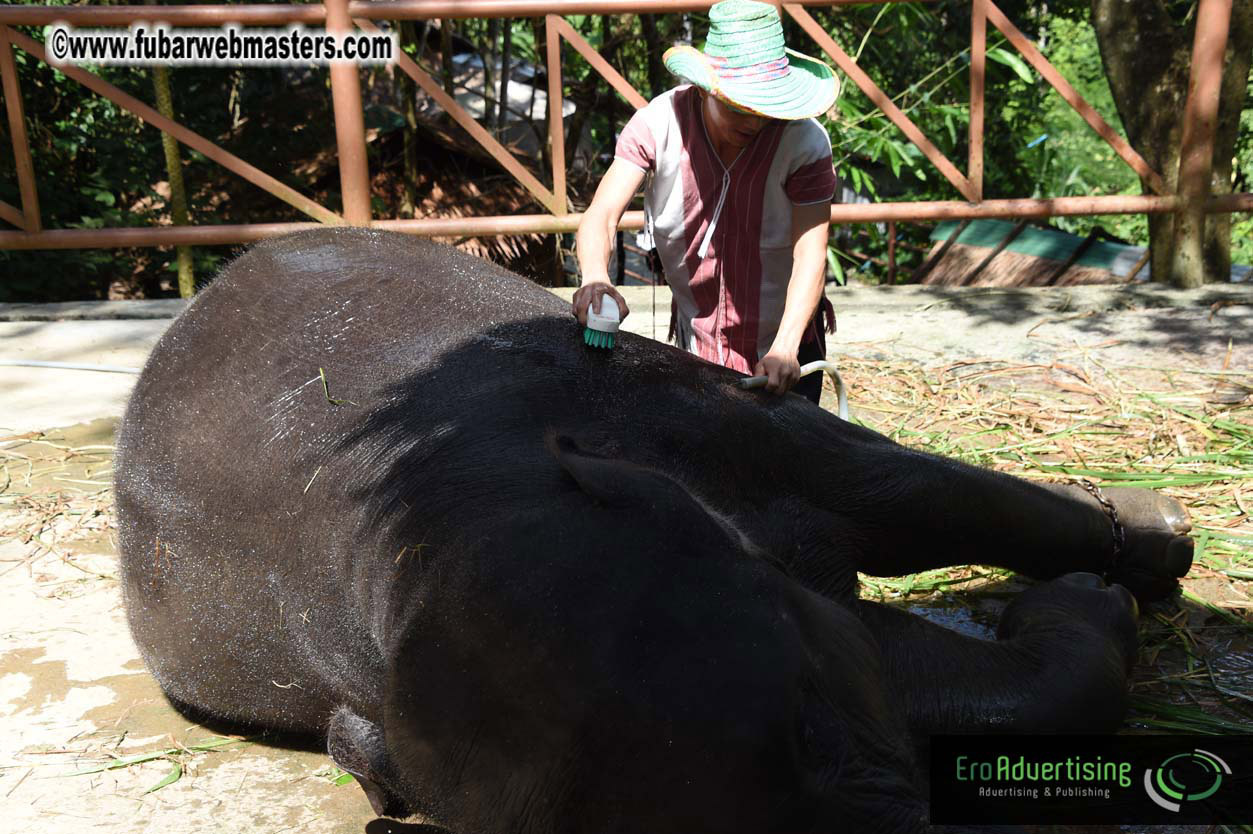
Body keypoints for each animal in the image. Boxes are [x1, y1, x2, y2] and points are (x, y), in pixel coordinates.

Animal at [114, 228, 1193, 833]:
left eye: (806, 722)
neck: (429, 516)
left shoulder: (714, 418)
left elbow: (917, 490)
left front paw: (1151, 542)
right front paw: (1087, 601)